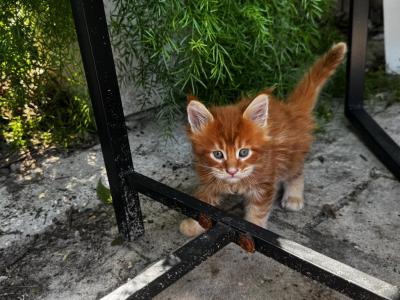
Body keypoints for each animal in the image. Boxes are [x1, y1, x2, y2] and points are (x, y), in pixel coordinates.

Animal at [180, 42, 346, 237]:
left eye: (244, 152)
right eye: (218, 154)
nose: (232, 171)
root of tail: (291, 110)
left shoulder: (265, 183)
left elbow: (257, 212)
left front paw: (254, 228)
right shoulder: (209, 179)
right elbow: (202, 203)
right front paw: (192, 225)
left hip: (289, 157)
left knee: (296, 172)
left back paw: (294, 196)